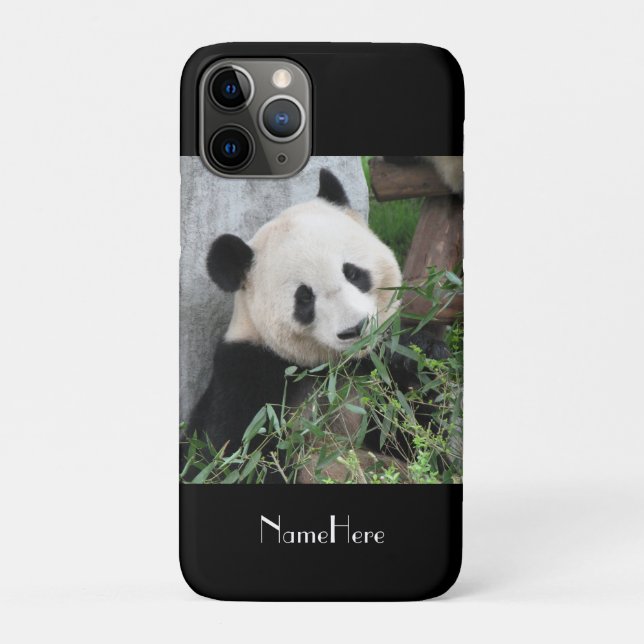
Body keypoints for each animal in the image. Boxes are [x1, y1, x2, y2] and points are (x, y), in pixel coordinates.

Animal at [186, 169, 445, 483]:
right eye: (305, 298)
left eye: (352, 273)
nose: (355, 329)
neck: (330, 367)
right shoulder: (247, 376)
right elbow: (234, 459)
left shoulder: (372, 375)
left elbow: (415, 441)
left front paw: (418, 355)